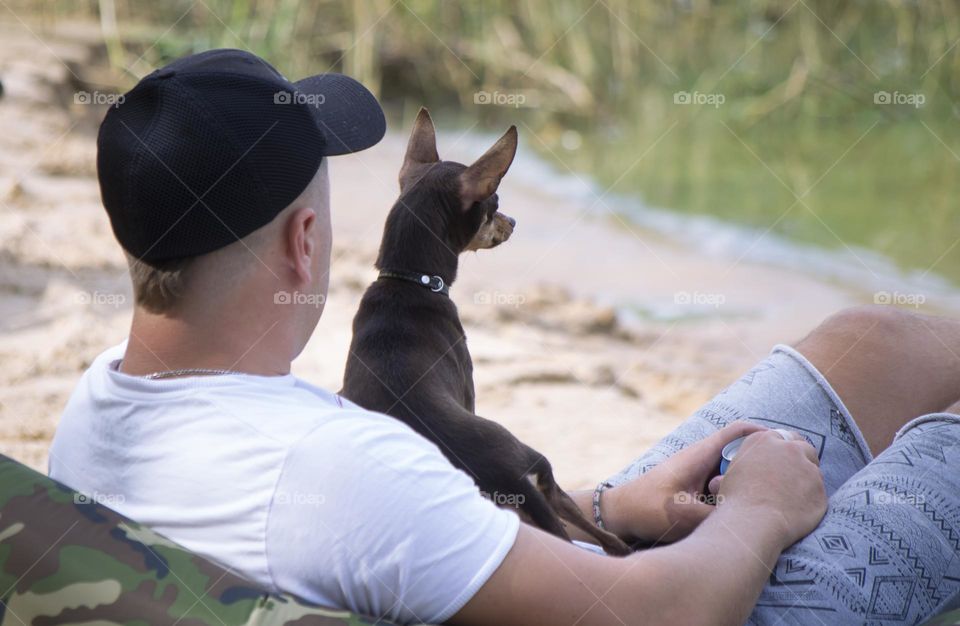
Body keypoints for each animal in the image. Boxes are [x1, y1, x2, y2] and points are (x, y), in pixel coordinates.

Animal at [342, 109, 632, 552]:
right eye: (495, 204)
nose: (512, 220)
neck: (408, 280)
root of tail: (509, 479)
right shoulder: (470, 391)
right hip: (540, 471)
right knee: (599, 534)